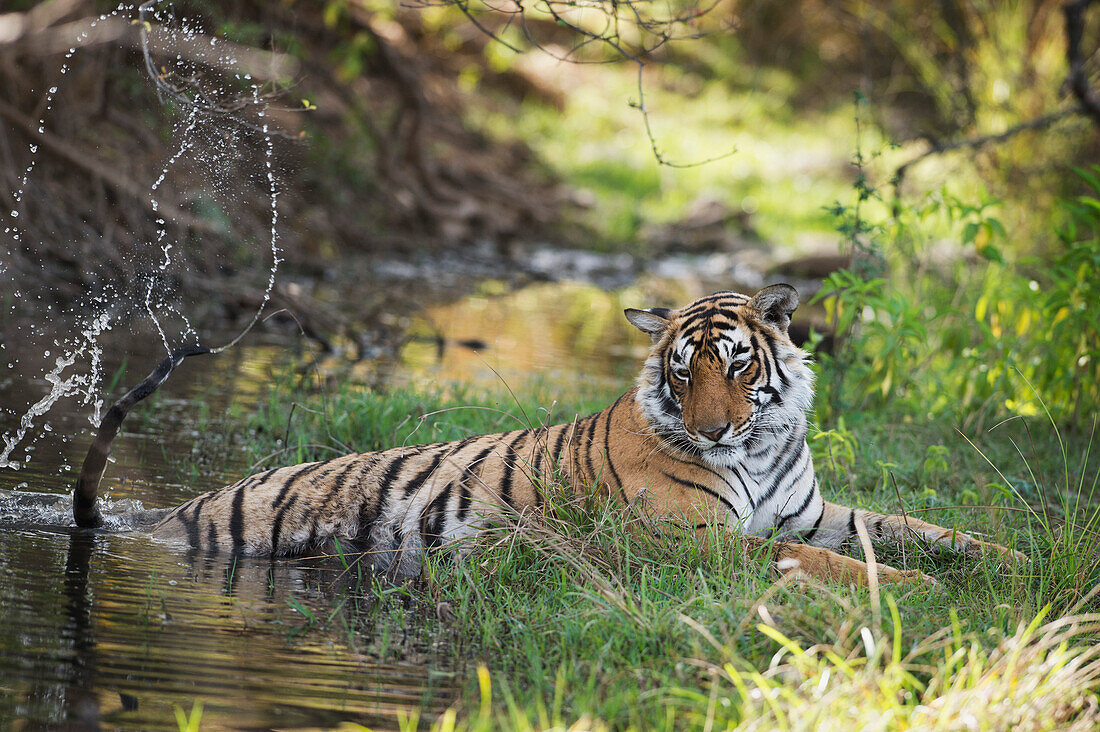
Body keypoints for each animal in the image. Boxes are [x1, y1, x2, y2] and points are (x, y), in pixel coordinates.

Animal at [73, 281, 1025, 585]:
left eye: (736, 364)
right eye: (684, 371)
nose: (715, 427)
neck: (758, 445)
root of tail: (165, 514)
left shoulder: (808, 513)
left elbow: (910, 526)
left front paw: (1011, 561)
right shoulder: (686, 537)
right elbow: (821, 560)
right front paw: (914, 591)